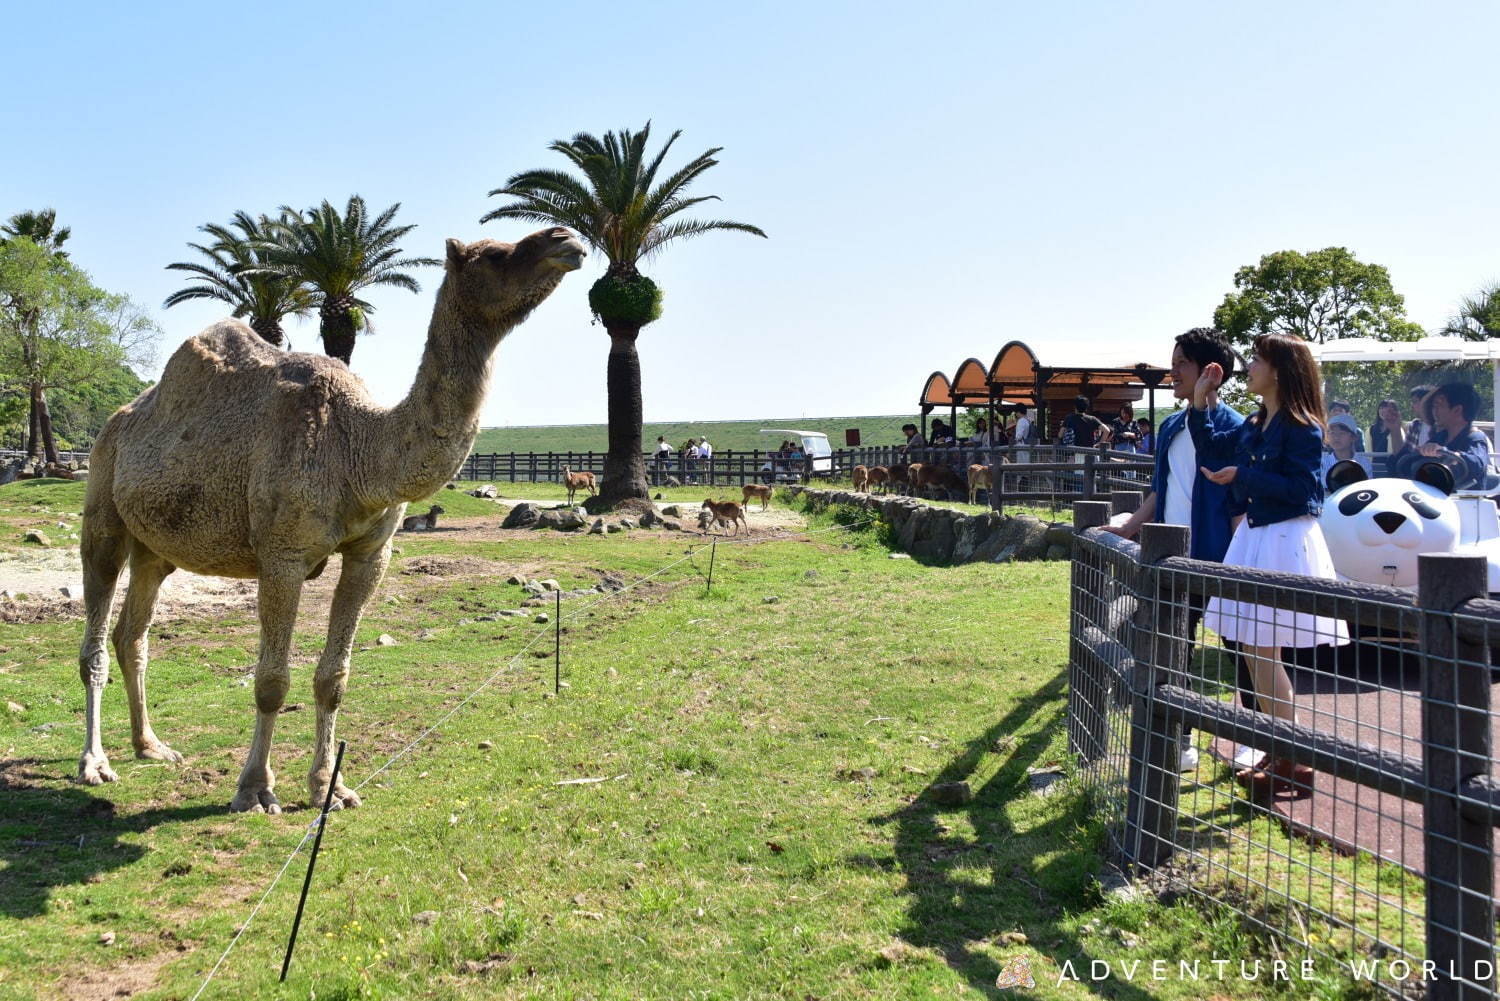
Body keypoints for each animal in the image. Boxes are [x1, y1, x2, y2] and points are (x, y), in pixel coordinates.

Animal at [77, 229, 585, 816]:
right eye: (494, 253)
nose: (566, 239)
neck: (359, 448)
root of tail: (119, 420)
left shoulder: (371, 554)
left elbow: (334, 676)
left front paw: (330, 787)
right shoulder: (282, 555)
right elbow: (272, 679)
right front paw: (254, 789)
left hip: (155, 548)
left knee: (131, 635)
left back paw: (151, 746)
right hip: (103, 504)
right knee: (95, 635)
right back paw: (95, 763)